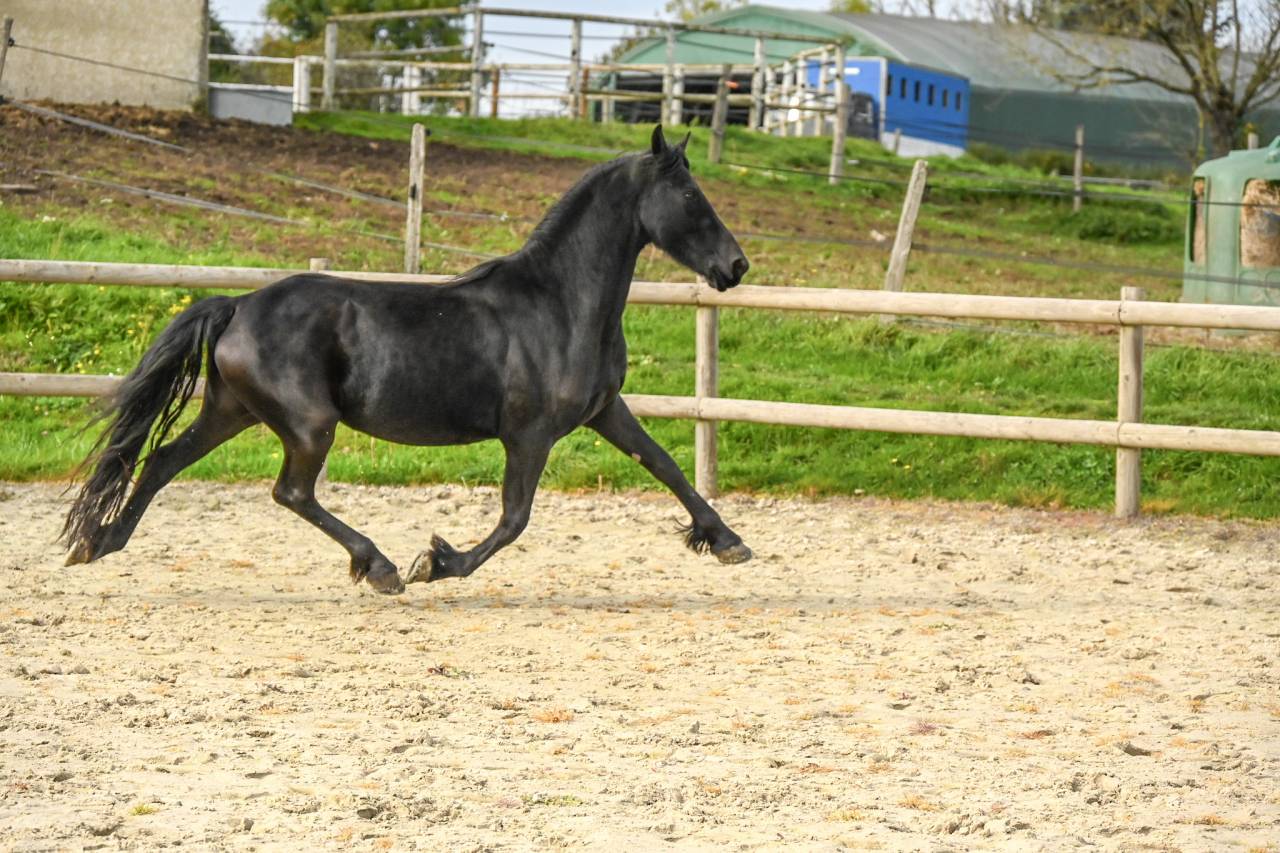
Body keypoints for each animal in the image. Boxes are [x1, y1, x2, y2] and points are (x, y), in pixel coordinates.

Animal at [62, 125, 753, 595]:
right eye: (689, 194)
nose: (736, 265)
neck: (559, 303)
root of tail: (237, 306)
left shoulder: (604, 411)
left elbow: (664, 464)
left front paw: (727, 542)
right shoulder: (529, 434)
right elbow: (515, 519)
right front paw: (436, 562)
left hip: (232, 411)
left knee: (161, 460)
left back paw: (97, 543)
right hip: (308, 425)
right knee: (290, 491)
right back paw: (381, 567)